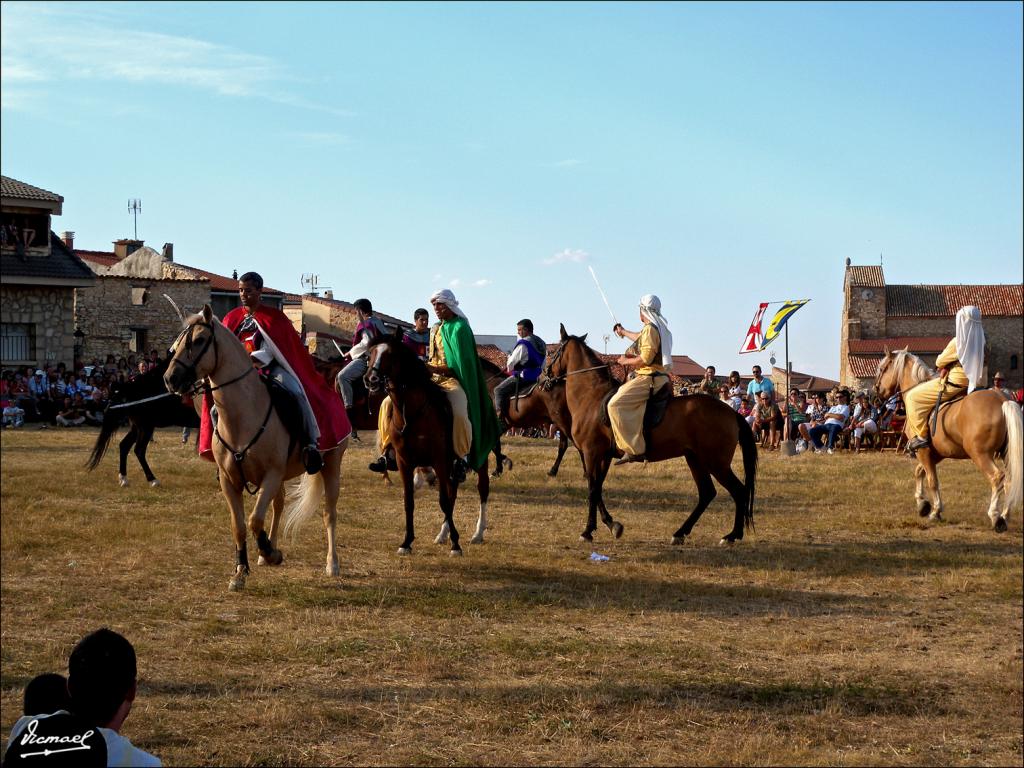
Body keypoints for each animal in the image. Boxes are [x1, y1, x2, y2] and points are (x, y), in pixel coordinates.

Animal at [163, 305, 348, 589]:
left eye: (199, 340)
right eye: (180, 341)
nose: (170, 379)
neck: (242, 416)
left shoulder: (271, 474)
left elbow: (254, 519)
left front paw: (271, 553)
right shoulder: (230, 481)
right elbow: (239, 525)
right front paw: (241, 570)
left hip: (331, 465)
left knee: (329, 513)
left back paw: (332, 563)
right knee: (279, 505)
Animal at [364, 335, 491, 552]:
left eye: (390, 354)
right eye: (370, 353)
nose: (370, 379)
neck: (412, 413)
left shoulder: (439, 460)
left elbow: (443, 501)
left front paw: (456, 544)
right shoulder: (404, 461)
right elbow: (409, 501)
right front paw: (407, 542)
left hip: (478, 458)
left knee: (482, 489)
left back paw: (478, 533)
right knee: (453, 491)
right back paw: (443, 534)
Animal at [544, 325, 761, 548]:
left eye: (551, 353)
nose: (543, 378)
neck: (592, 397)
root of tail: (731, 412)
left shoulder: (591, 453)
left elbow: (592, 490)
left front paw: (588, 530)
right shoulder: (603, 456)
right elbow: (598, 489)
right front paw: (611, 525)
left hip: (716, 463)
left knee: (738, 491)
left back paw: (731, 535)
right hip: (696, 459)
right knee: (707, 493)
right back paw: (681, 533)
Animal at [872, 348, 1024, 532]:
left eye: (882, 369)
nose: (875, 394)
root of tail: (1003, 400)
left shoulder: (923, 451)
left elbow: (932, 480)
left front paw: (935, 510)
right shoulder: (936, 453)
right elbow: (919, 471)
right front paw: (922, 504)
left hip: (980, 454)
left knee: (997, 478)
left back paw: (995, 516)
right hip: (1007, 454)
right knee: (1009, 482)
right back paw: (1005, 516)